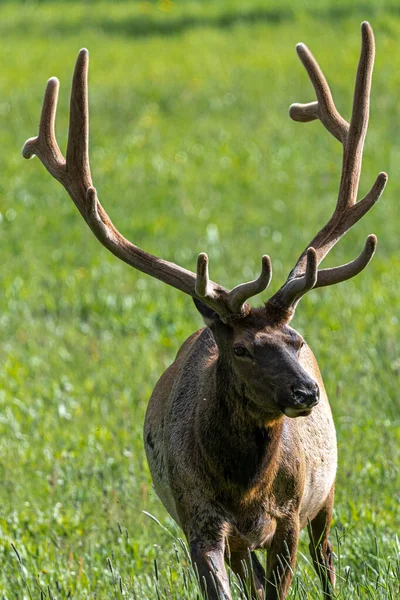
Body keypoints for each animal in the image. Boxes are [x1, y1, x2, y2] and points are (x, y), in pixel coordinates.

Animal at [23, 21, 386, 596]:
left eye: (296, 340)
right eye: (241, 349)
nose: (306, 391)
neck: (246, 492)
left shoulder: (288, 517)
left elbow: (285, 579)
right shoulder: (198, 520)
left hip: (325, 493)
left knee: (327, 558)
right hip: (239, 537)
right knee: (255, 576)